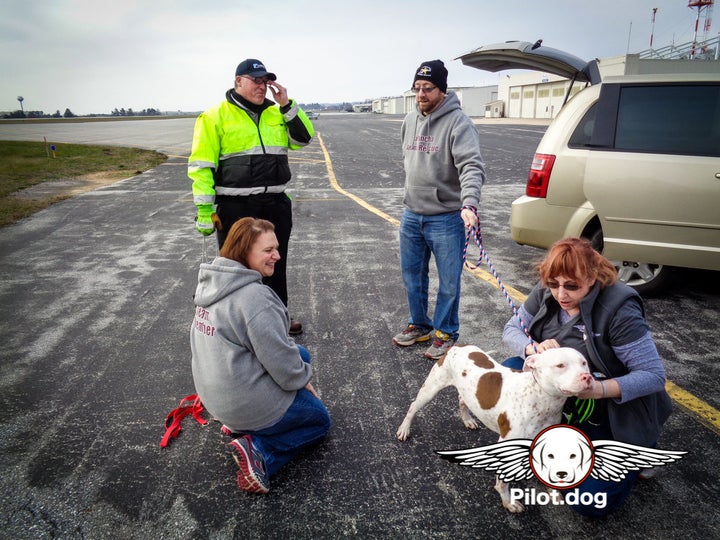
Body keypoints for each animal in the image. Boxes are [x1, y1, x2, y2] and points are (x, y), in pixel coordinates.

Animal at [396, 344, 592, 512]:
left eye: (584, 363)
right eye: (560, 365)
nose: (587, 377)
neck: (543, 400)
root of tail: (458, 346)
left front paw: (553, 492)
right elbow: (503, 483)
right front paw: (508, 502)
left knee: (462, 401)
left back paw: (468, 420)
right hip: (430, 389)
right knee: (413, 406)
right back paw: (404, 429)